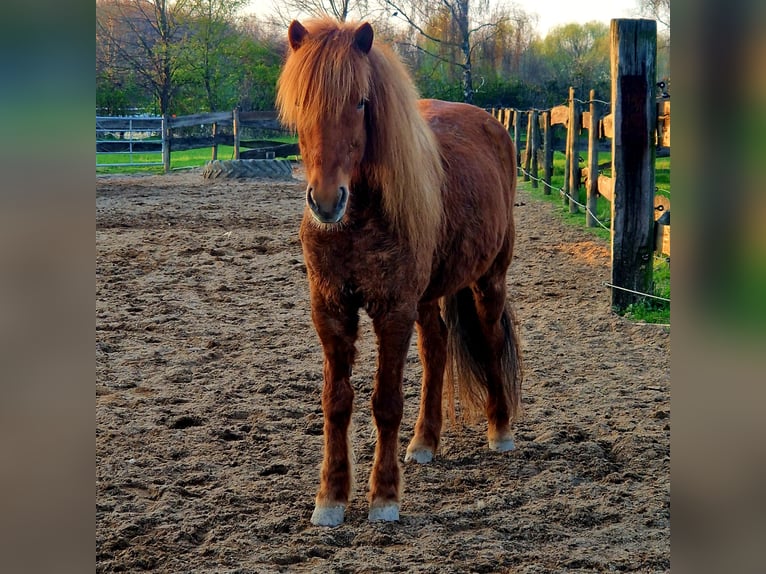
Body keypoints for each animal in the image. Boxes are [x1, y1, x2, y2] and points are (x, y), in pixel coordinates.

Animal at [276, 17, 523, 527]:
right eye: (302, 101)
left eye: (360, 101)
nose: (326, 201)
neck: (358, 218)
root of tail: (492, 125)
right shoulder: (331, 310)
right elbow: (336, 403)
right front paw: (330, 498)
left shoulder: (392, 311)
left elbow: (385, 402)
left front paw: (384, 497)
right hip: (427, 297)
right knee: (436, 349)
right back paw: (424, 441)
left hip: (488, 282)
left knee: (489, 341)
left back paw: (500, 430)